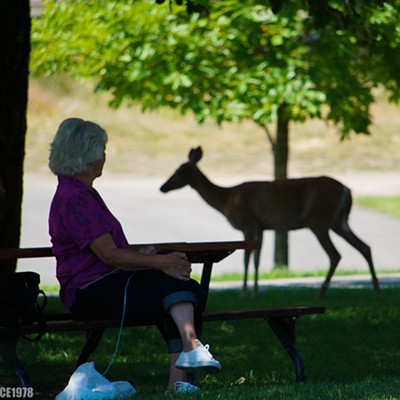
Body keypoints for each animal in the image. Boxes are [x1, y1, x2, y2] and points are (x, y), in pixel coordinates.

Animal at [158, 145, 380, 298]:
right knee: (365, 247)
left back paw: (320, 294)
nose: (162, 187)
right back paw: (376, 292)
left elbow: (246, 258)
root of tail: (347, 190)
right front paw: (255, 292)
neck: (227, 199)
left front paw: (244, 292)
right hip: (339, 222)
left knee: (335, 254)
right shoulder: (262, 226)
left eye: (181, 171)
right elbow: (257, 258)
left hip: (319, 220)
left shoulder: (248, 223)